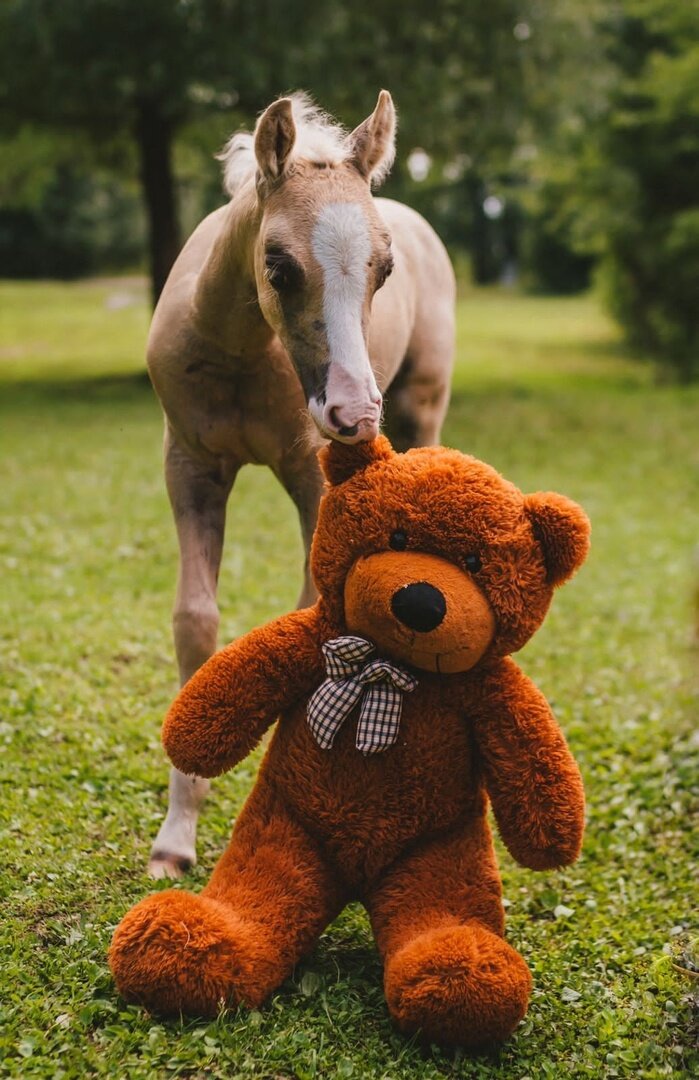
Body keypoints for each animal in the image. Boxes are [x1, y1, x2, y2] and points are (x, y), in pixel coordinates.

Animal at [148, 92, 455, 881]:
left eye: (383, 269)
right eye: (279, 267)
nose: (354, 414)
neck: (238, 352)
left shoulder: (310, 474)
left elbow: (319, 611)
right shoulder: (188, 465)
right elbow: (195, 620)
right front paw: (176, 836)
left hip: (421, 408)